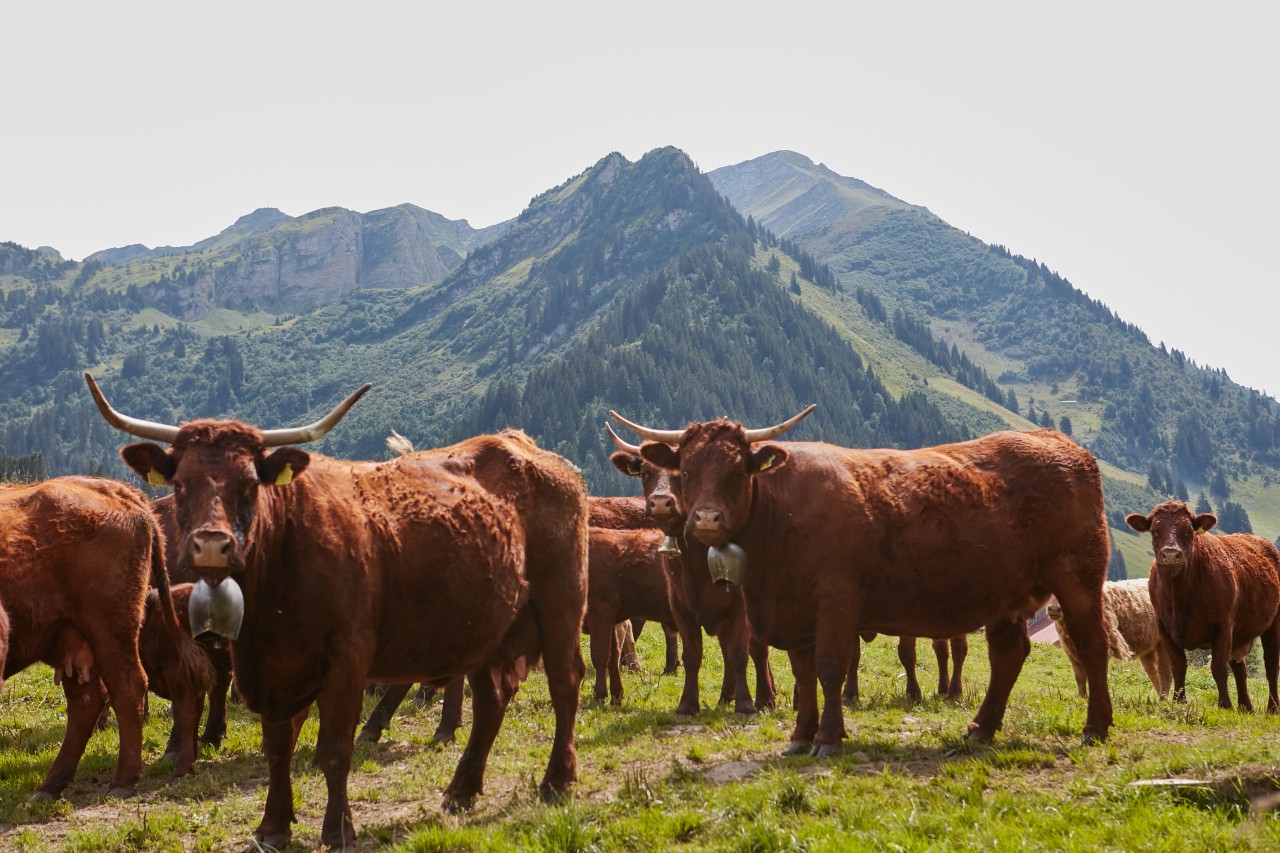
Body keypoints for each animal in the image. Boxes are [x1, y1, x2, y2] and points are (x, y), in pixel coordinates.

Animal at [1, 473, 207, 794]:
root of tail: (117, 490)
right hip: (70, 639)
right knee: (87, 703)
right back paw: (51, 786)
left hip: (109, 633)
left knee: (127, 688)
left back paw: (123, 780)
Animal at [86, 376, 588, 845]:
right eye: (180, 484)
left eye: (249, 484)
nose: (212, 544)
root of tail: (526, 448)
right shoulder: (274, 669)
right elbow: (278, 746)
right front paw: (273, 826)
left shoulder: (347, 658)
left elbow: (333, 749)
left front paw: (338, 829)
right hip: (488, 626)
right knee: (491, 699)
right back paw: (461, 791)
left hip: (561, 599)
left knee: (565, 682)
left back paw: (557, 781)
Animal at [604, 422, 773, 712]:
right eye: (645, 472)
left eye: (681, 474)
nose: (661, 502)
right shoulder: (680, 603)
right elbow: (693, 653)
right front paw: (688, 704)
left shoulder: (739, 607)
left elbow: (741, 652)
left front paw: (746, 704)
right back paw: (726, 696)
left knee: (757, 650)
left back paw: (766, 697)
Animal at [1131, 502, 1280, 706]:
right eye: (1154, 531)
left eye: (1188, 531)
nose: (1171, 555)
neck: (1179, 596)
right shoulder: (1164, 629)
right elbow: (1178, 666)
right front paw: (1179, 701)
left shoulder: (1223, 626)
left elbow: (1219, 667)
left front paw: (1225, 705)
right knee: (1240, 668)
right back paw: (1245, 707)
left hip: (1273, 623)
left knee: (1271, 665)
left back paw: (1272, 707)